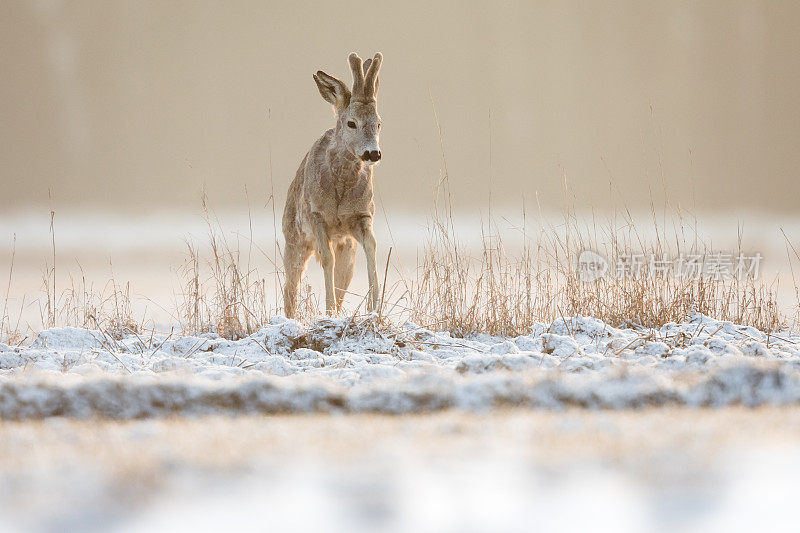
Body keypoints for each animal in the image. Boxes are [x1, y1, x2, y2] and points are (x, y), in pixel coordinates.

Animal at [282, 51, 382, 316]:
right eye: (351, 122)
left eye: (379, 122)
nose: (372, 153)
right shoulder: (317, 215)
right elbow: (327, 259)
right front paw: (327, 312)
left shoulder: (362, 215)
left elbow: (372, 247)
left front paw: (375, 308)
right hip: (293, 238)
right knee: (290, 285)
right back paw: (290, 316)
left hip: (344, 245)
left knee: (343, 278)